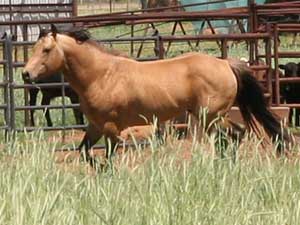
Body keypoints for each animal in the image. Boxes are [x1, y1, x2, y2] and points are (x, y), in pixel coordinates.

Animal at [22, 25, 290, 165]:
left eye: (47, 50)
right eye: (34, 48)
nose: (25, 73)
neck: (102, 75)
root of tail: (225, 64)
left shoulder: (110, 128)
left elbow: (108, 156)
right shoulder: (95, 126)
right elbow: (85, 152)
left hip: (210, 116)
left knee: (234, 134)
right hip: (212, 116)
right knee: (235, 134)